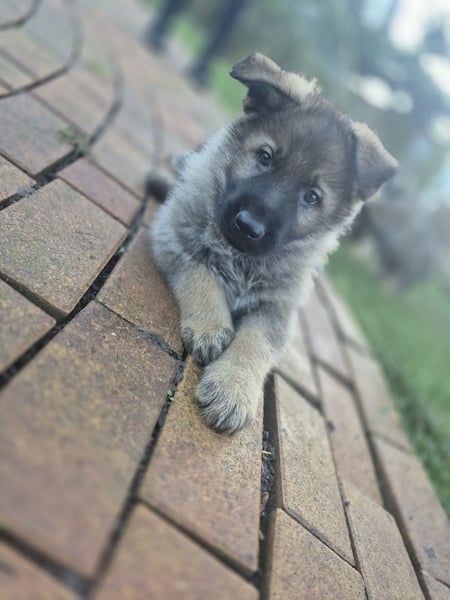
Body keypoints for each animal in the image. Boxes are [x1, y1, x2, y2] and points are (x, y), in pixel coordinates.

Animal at [149, 53, 397, 434]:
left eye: (311, 197)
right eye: (265, 157)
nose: (248, 226)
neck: (243, 259)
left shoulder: (278, 309)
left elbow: (257, 342)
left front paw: (232, 388)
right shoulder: (175, 239)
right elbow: (201, 272)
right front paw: (210, 326)